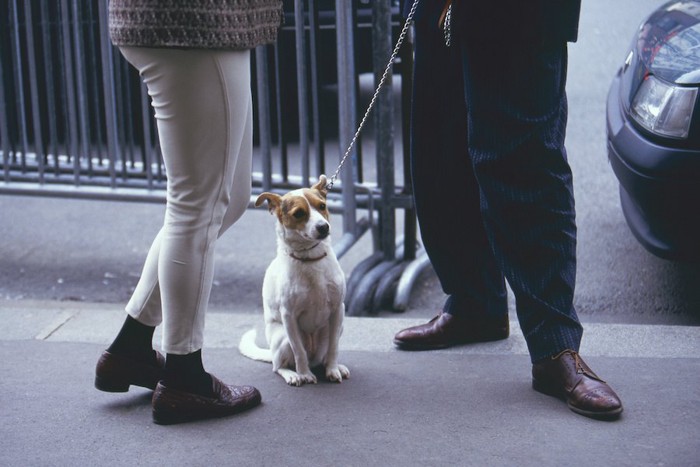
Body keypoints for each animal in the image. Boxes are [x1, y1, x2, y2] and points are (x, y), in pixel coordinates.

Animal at [241, 176, 350, 388]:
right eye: (299, 213)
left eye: (322, 206)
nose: (323, 227)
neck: (311, 259)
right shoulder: (289, 316)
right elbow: (299, 351)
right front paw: (304, 374)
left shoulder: (337, 310)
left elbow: (334, 348)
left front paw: (333, 369)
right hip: (283, 338)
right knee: (279, 365)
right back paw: (293, 374)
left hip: (333, 329)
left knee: (324, 356)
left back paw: (332, 366)